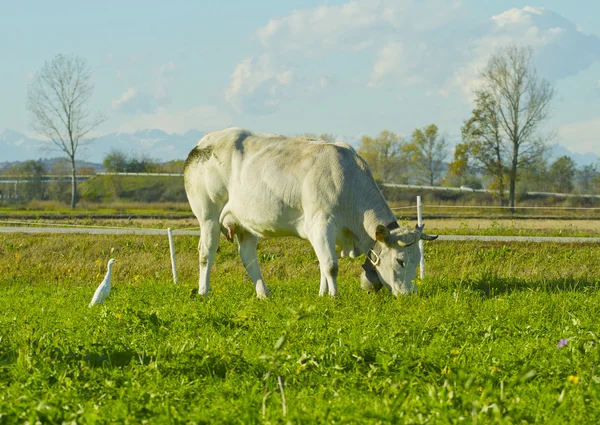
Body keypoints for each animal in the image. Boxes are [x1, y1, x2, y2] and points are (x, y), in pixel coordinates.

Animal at [183, 127, 436, 296]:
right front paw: (334, 297)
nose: (411, 294)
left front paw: (323, 294)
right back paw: (204, 291)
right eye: (400, 261)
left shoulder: (323, 233)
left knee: (249, 258)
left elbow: (323, 264)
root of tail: (203, 142)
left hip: (244, 223)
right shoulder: (320, 224)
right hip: (208, 216)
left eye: (418, 260)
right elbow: (331, 265)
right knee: (206, 252)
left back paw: (264, 294)